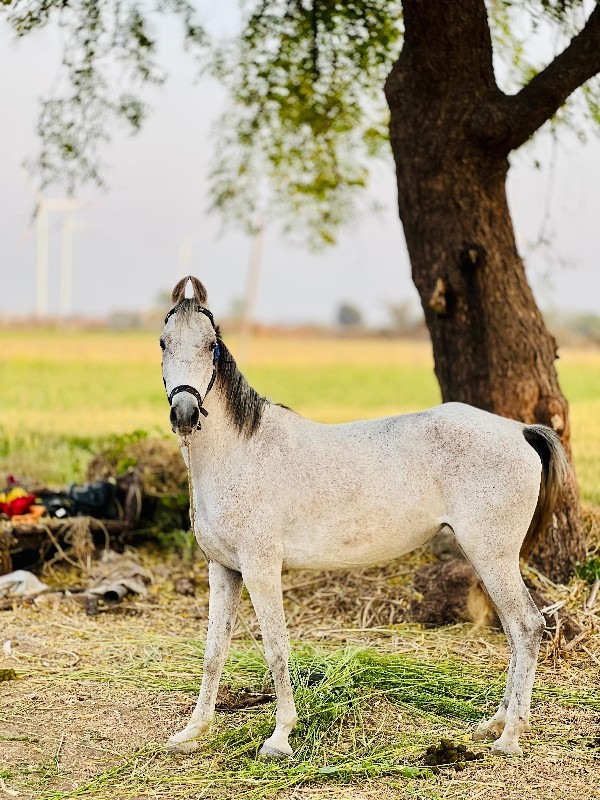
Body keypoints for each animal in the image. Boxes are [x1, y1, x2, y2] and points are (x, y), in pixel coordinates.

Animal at [163, 278, 568, 760]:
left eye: (210, 345)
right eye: (164, 343)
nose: (185, 414)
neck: (240, 452)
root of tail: (519, 430)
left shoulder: (261, 569)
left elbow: (276, 648)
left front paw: (279, 738)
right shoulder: (224, 569)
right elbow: (214, 651)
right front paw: (193, 731)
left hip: (493, 555)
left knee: (526, 626)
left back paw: (509, 738)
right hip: (489, 559)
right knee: (511, 629)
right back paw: (493, 724)